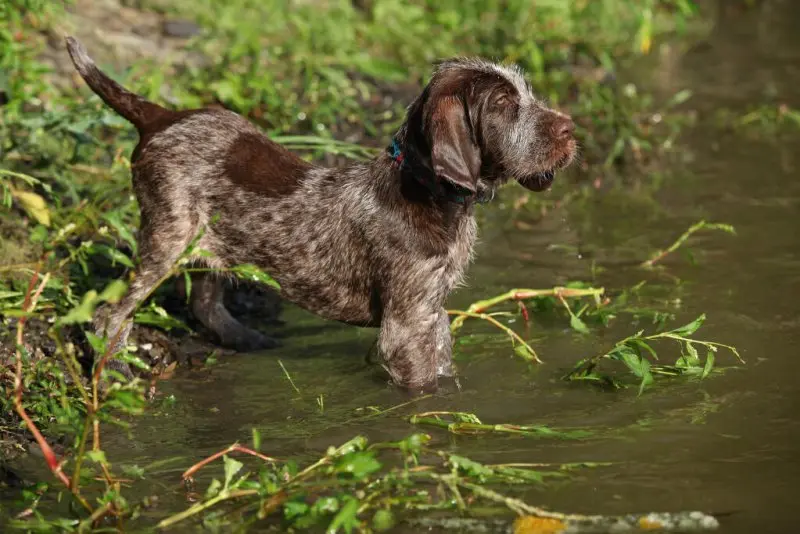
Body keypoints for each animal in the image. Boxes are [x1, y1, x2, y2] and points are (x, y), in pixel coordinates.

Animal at [64, 34, 576, 394]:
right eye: (504, 106)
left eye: (526, 94)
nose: (571, 129)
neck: (427, 190)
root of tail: (160, 117)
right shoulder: (407, 326)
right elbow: (423, 384)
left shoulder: (432, 313)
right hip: (167, 236)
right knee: (111, 313)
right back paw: (109, 376)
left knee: (204, 301)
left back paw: (251, 340)